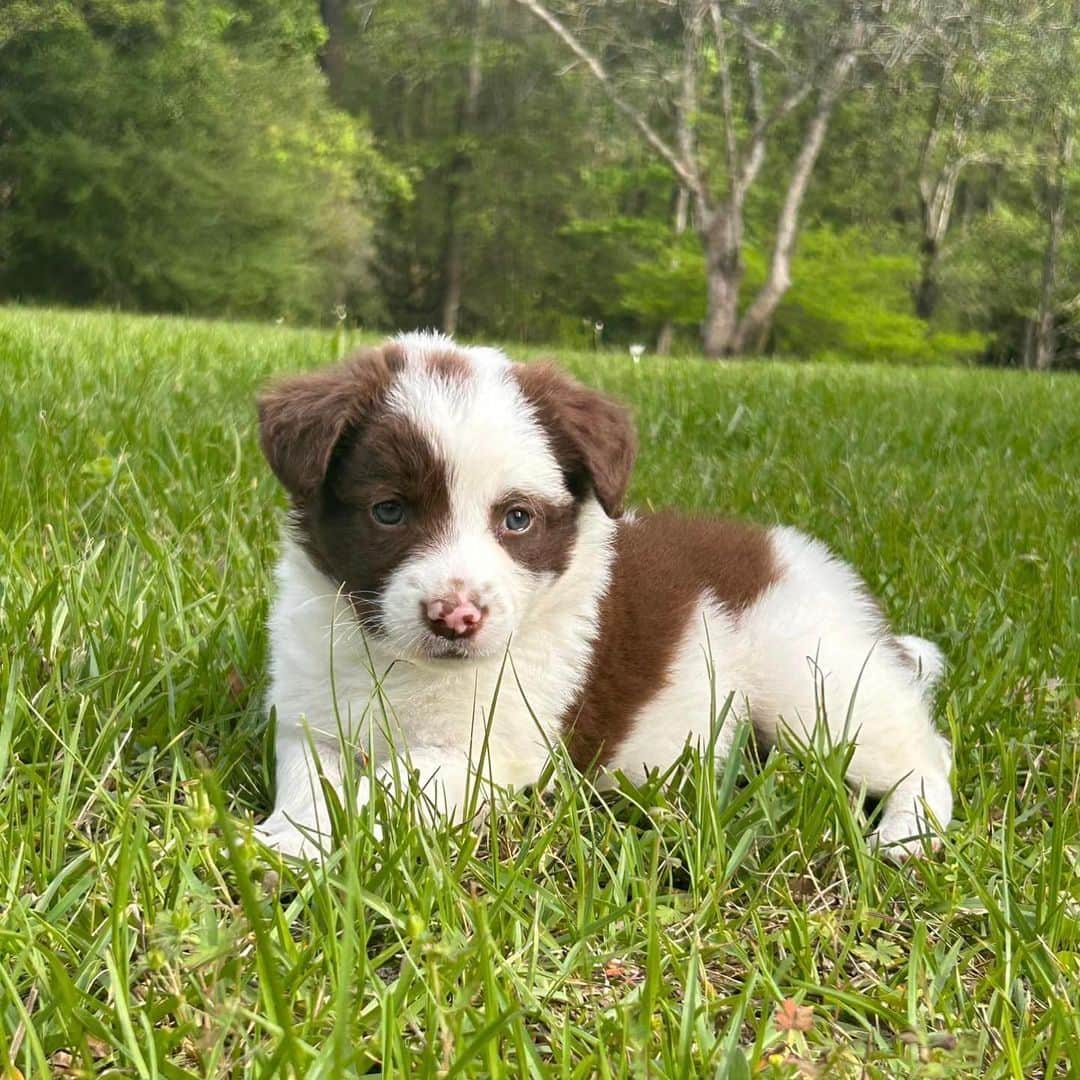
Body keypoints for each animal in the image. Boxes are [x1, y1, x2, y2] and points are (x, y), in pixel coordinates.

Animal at [254, 332, 954, 855]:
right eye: (389, 511)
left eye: (517, 519)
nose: (456, 618)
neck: (401, 667)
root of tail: (794, 557)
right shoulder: (310, 717)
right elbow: (313, 784)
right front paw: (291, 837)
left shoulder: (491, 748)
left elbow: (390, 790)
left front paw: (297, 850)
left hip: (815, 686)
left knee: (924, 752)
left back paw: (906, 835)